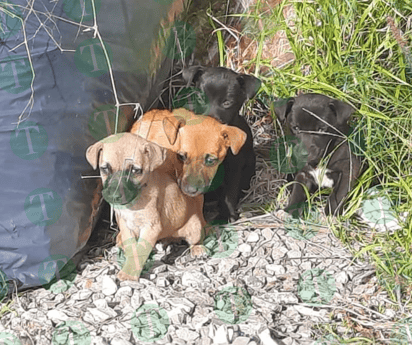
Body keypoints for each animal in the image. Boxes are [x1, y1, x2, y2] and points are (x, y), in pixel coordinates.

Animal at [87, 132, 208, 280]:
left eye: (135, 170)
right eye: (104, 169)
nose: (114, 197)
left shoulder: (151, 227)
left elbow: (140, 251)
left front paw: (128, 274)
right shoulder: (125, 225)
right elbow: (132, 248)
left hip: (195, 227)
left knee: (197, 240)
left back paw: (198, 249)